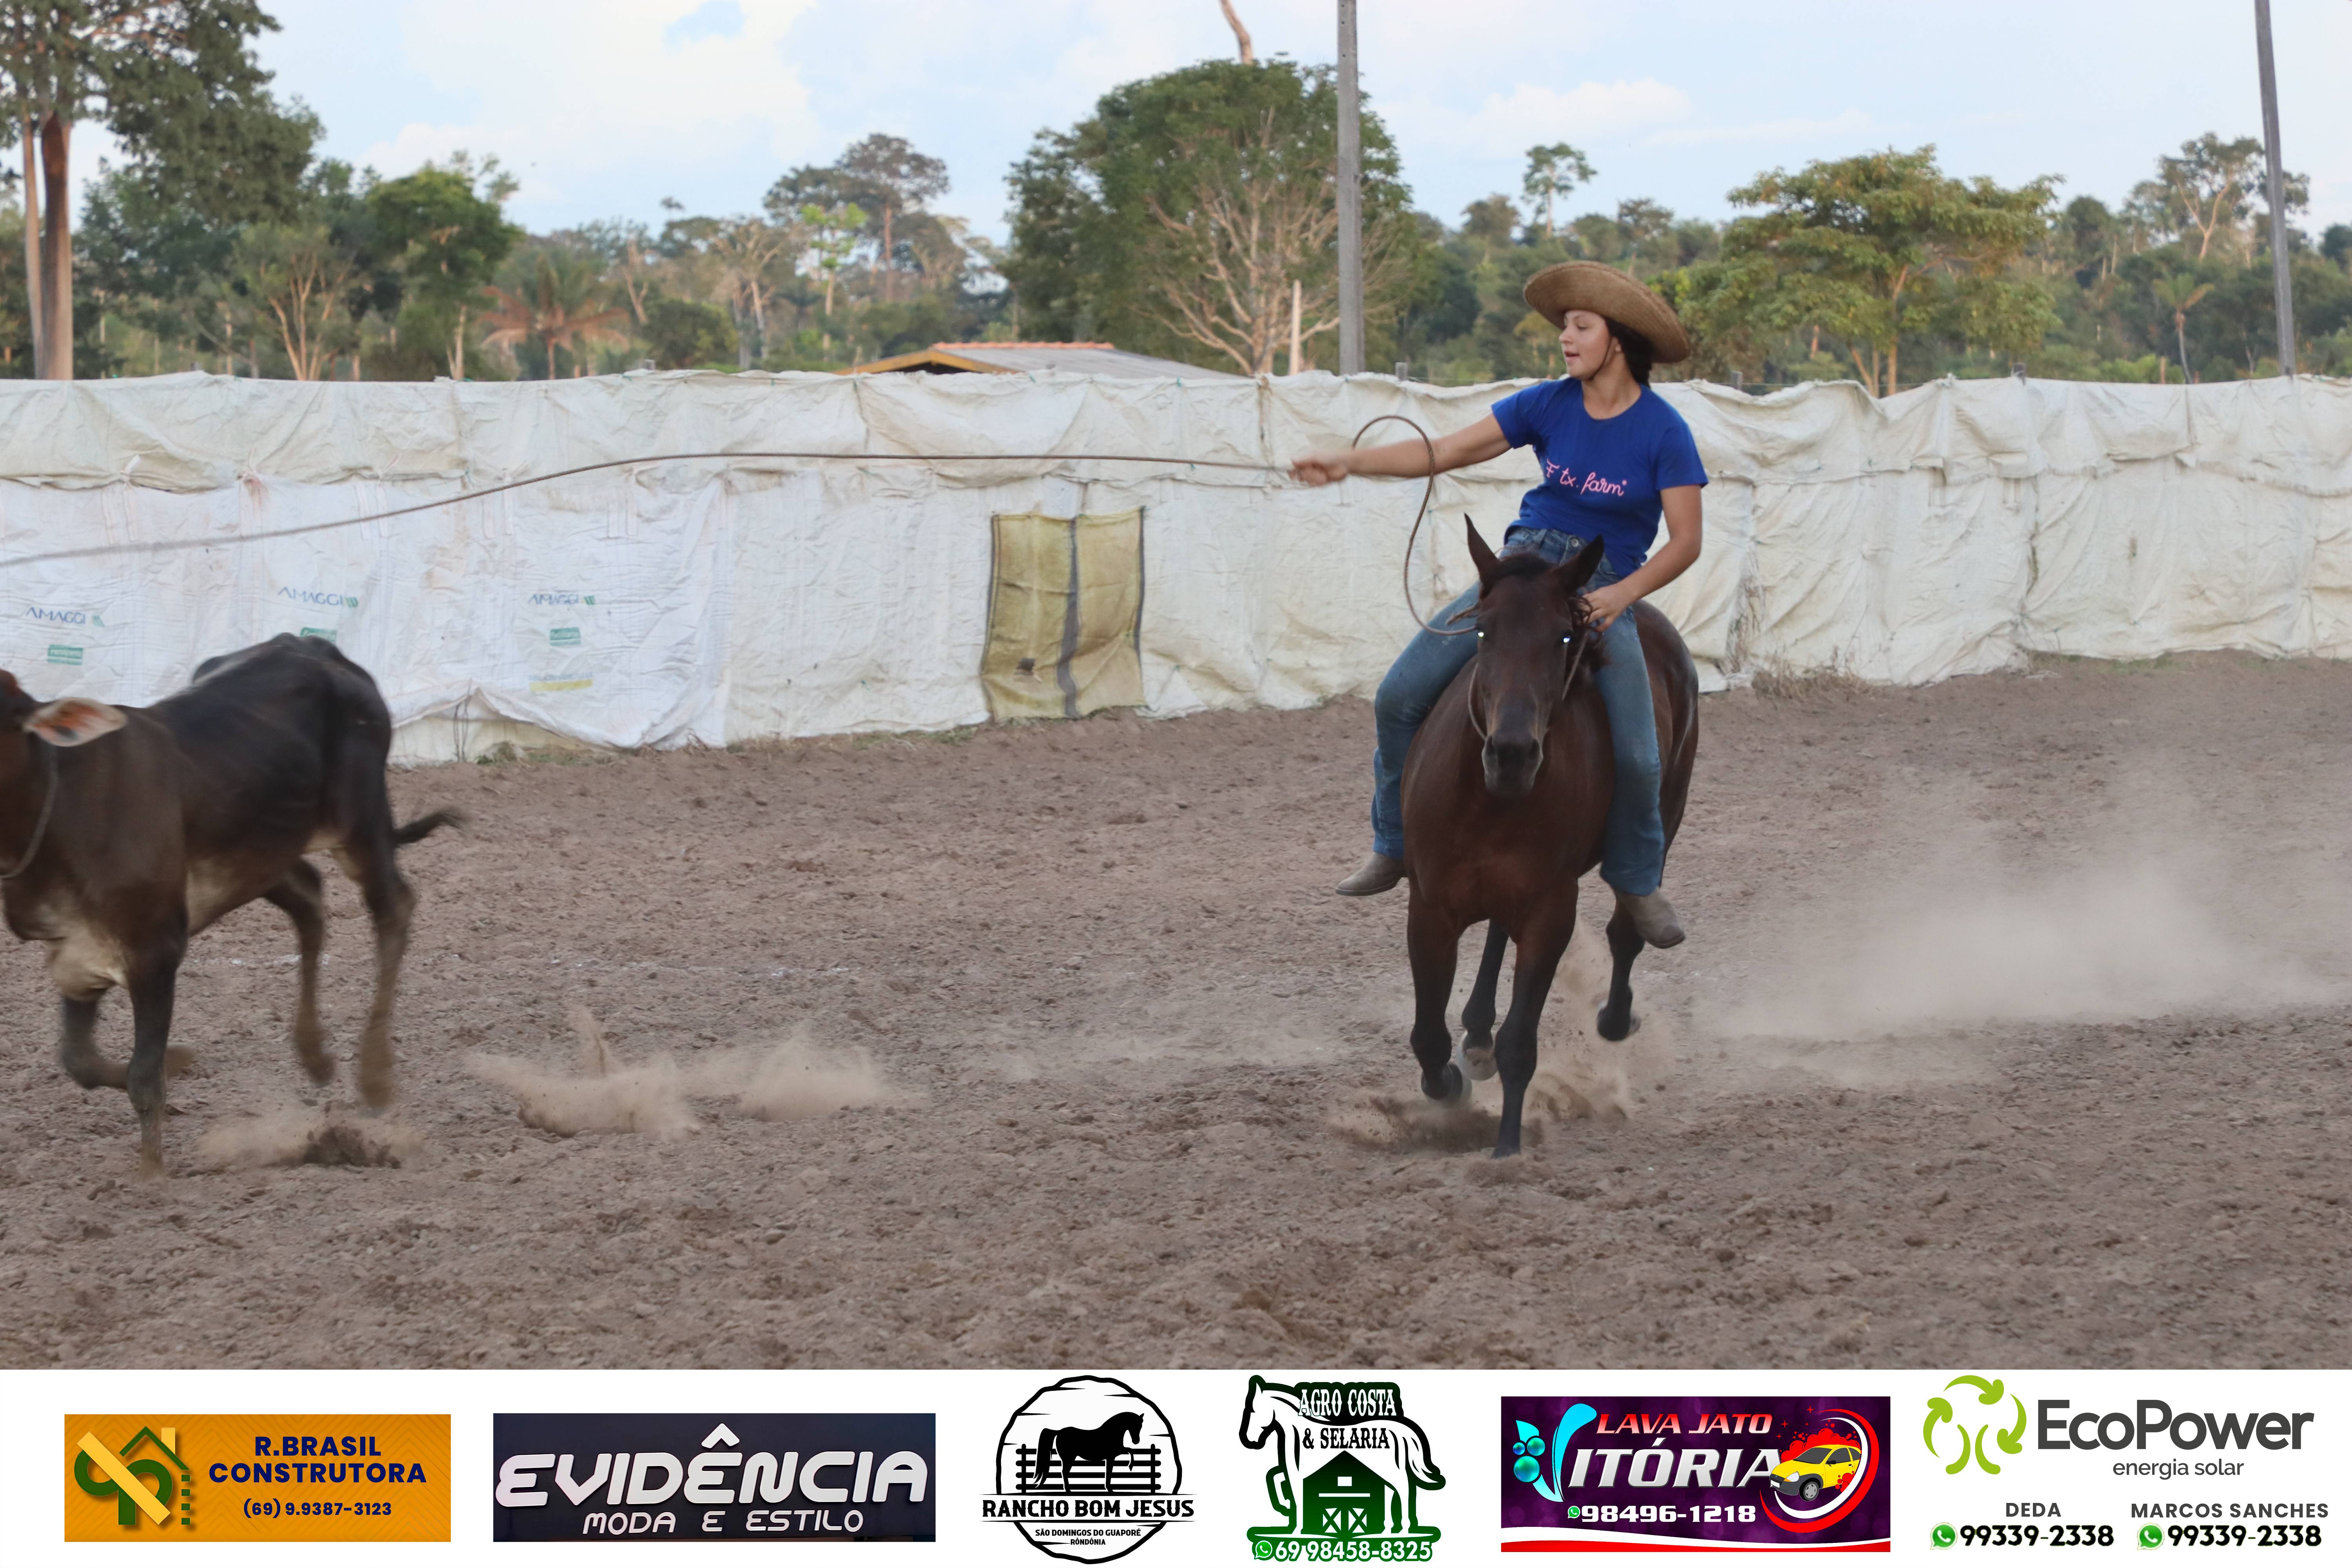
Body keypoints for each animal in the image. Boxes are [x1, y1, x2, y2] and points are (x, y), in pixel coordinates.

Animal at [0, 634, 461, 1174]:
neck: (57, 808)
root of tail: (315, 647)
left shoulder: (155, 947)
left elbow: (143, 1077)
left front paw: (152, 1176)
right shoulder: (76, 950)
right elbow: (81, 1062)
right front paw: (180, 1061)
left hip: (361, 826)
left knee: (393, 909)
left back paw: (374, 1076)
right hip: (264, 853)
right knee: (309, 897)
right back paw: (315, 1056)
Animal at [1035, 1411, 1145, 1490]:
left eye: (1141, 1427)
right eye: (1135, 1425)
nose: (1136, 1442)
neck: (1111, 1433)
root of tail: (1059, 1432)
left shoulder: (1117, 1453)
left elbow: (1130, 1451)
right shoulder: (1112, 1456)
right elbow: (1111, 1470)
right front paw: (1130, 1467)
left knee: (1064, 1472)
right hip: (1069, 1459)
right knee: (1064, 1472)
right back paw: (1069, 1490)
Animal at [1399, 520, 1699, 1158]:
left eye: (1564, 637)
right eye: (1482, 631)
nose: (1513, 753)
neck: (1489, 800)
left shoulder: (1550, 910)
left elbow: (1522, 1041)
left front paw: (1508, 1149)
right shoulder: (1430, 906)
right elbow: (1428, 1034)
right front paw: (1450, 1084)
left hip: (1666, 814)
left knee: (1626, 928)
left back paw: (1614, 1017)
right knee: (1495, 931)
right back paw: (1477, 1032)